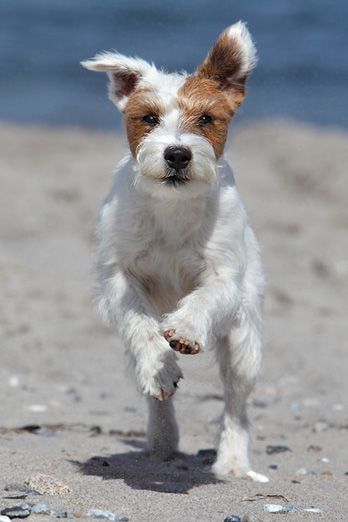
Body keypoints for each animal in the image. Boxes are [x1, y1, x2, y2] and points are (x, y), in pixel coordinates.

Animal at [81, 23, 266, 480]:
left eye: (207, 119)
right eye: (148, 118)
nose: (178, 153)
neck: (172, 208)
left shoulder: (224, 277)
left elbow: (204, 298)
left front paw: (184, 329)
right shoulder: (121, 278)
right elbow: (144, 328)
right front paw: (161, 364)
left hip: (245, 344)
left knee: (236, 406)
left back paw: (232, 461)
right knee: (152, 387)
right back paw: (162, 436)